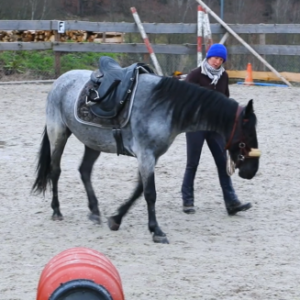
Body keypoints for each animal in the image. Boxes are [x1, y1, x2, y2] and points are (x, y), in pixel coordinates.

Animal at [31, 56, 258, 244]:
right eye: (246, 136)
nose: (251, 171)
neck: (163, 106)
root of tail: (61, 80)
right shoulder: (146, 156)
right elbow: (150, 193)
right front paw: (156, 231)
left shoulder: (150, 157)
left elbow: (139, 190)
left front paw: (116, 218)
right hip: (58, 134)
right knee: (55, 170)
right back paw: (57, 210)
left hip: (93, 142)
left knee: (84, 171)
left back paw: (95, 211)